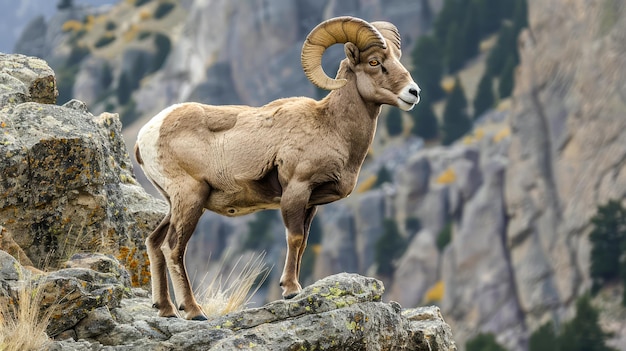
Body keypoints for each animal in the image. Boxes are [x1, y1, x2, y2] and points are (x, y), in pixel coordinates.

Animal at [135, 16, 420, 320]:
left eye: (397, 58)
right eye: (374, 62)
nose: (413, 93)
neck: (331, 127)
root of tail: (147, 134)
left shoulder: (311, 203)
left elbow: (303, 243)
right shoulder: (296, 190)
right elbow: (294, 238)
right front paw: (291, 290)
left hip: (176, 203)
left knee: (154, 242)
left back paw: (166, 310)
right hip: (190, 197)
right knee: (173, 247)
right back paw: (193, 311)